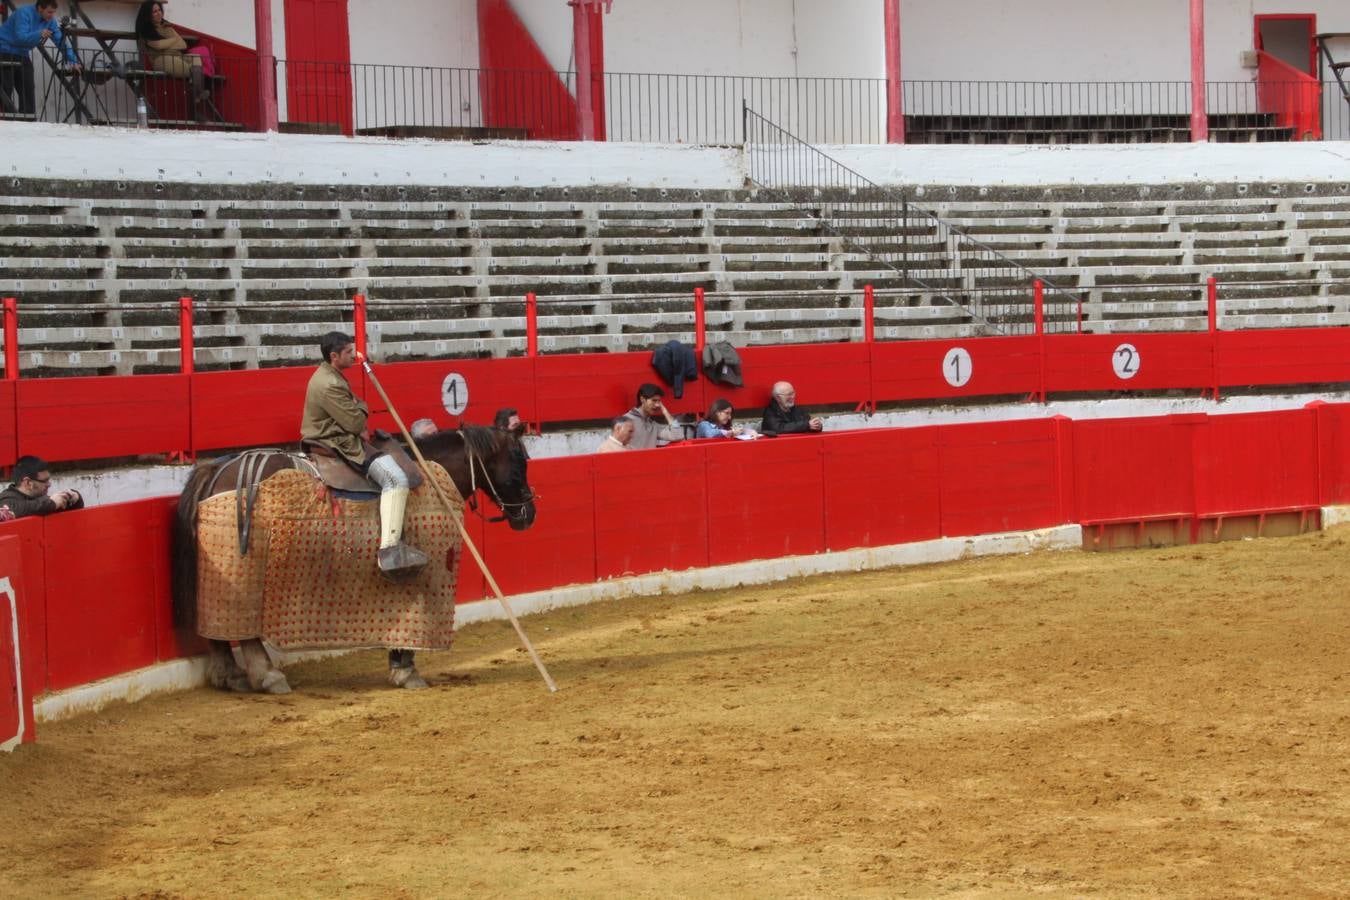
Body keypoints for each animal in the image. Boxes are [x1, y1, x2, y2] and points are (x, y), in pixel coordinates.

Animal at [174, 426, 537, 696]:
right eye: (520, 460)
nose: (529, 514)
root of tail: (216, 468)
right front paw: (406, 670)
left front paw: (400, 667)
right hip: (243, 567)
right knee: (244, 628)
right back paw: (267, 676)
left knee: (216, 623)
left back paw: (230, 675)